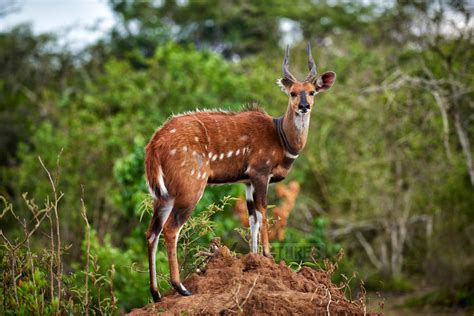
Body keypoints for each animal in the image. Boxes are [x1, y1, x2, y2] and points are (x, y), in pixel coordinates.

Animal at [144, 42, 336, 302]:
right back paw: (181, 288)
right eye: (293, 93)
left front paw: (254, 260)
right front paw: (268, 256)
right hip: (190, 188)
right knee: (170, 229)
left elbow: (252, 217)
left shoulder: (247, 182)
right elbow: (263, 211)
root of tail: (154, 143)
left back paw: (156, 294)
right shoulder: (260, 173)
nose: (304, 107)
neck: (281, 138)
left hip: (163, 195)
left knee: (151, 232)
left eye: (312, 92)